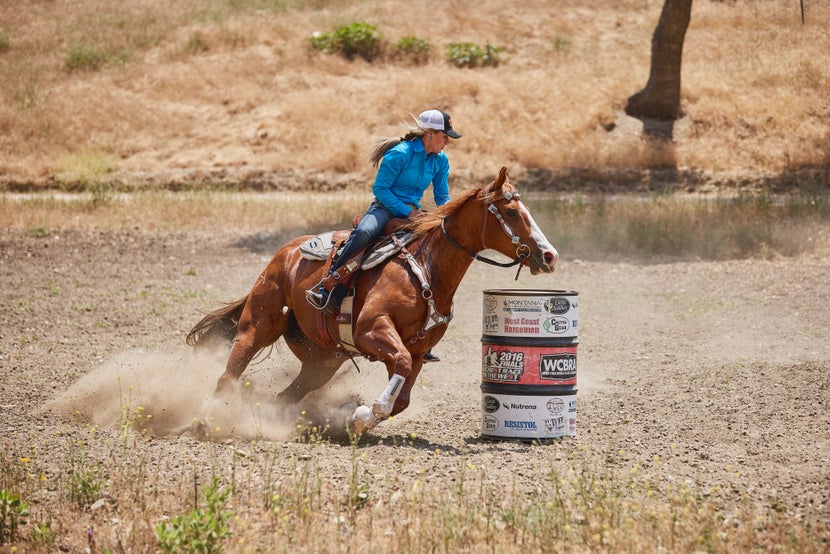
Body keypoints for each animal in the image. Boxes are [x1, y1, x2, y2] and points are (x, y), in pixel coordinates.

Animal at [188, 166, 560, 434]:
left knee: (289, 393)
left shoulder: (416, 350)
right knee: (228, 375)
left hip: (322, 360)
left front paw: (358, 418)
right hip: (258, 326)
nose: (549, 255)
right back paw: (208, 421)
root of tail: (286, 253)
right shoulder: (372, 331)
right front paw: (362, 414)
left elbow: (402, 398)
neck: (427, 267)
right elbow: (397, 380)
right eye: (511, 213)